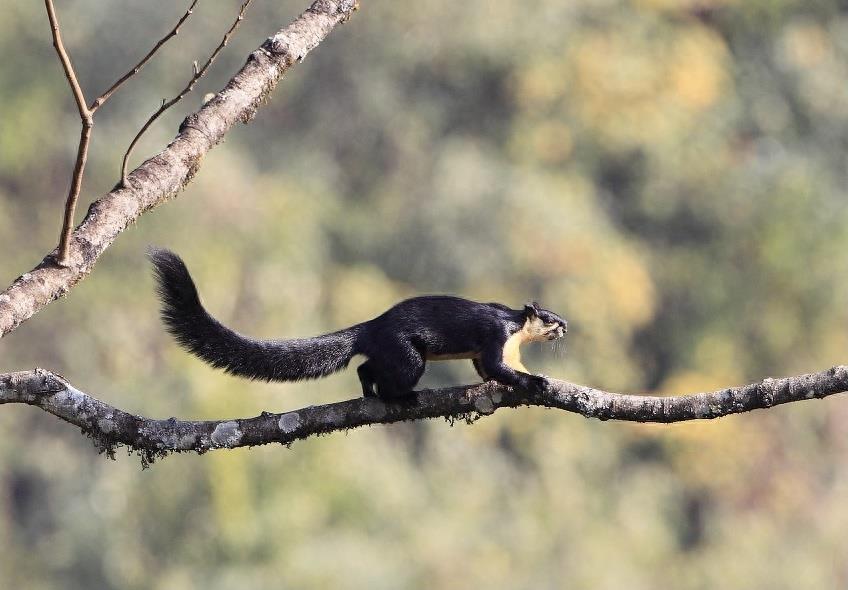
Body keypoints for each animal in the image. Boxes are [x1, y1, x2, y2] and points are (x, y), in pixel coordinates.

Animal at [151, 247, 568, 400]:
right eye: (549, 317)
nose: (566, 325)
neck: (515, 328)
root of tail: (371, 326)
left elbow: (487, 370)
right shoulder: (496, 335)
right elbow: (498, 366)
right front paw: (536, 381)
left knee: (365, 367)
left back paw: (369, 393)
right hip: (406, 354)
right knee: (386, 374)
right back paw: (400, 397)